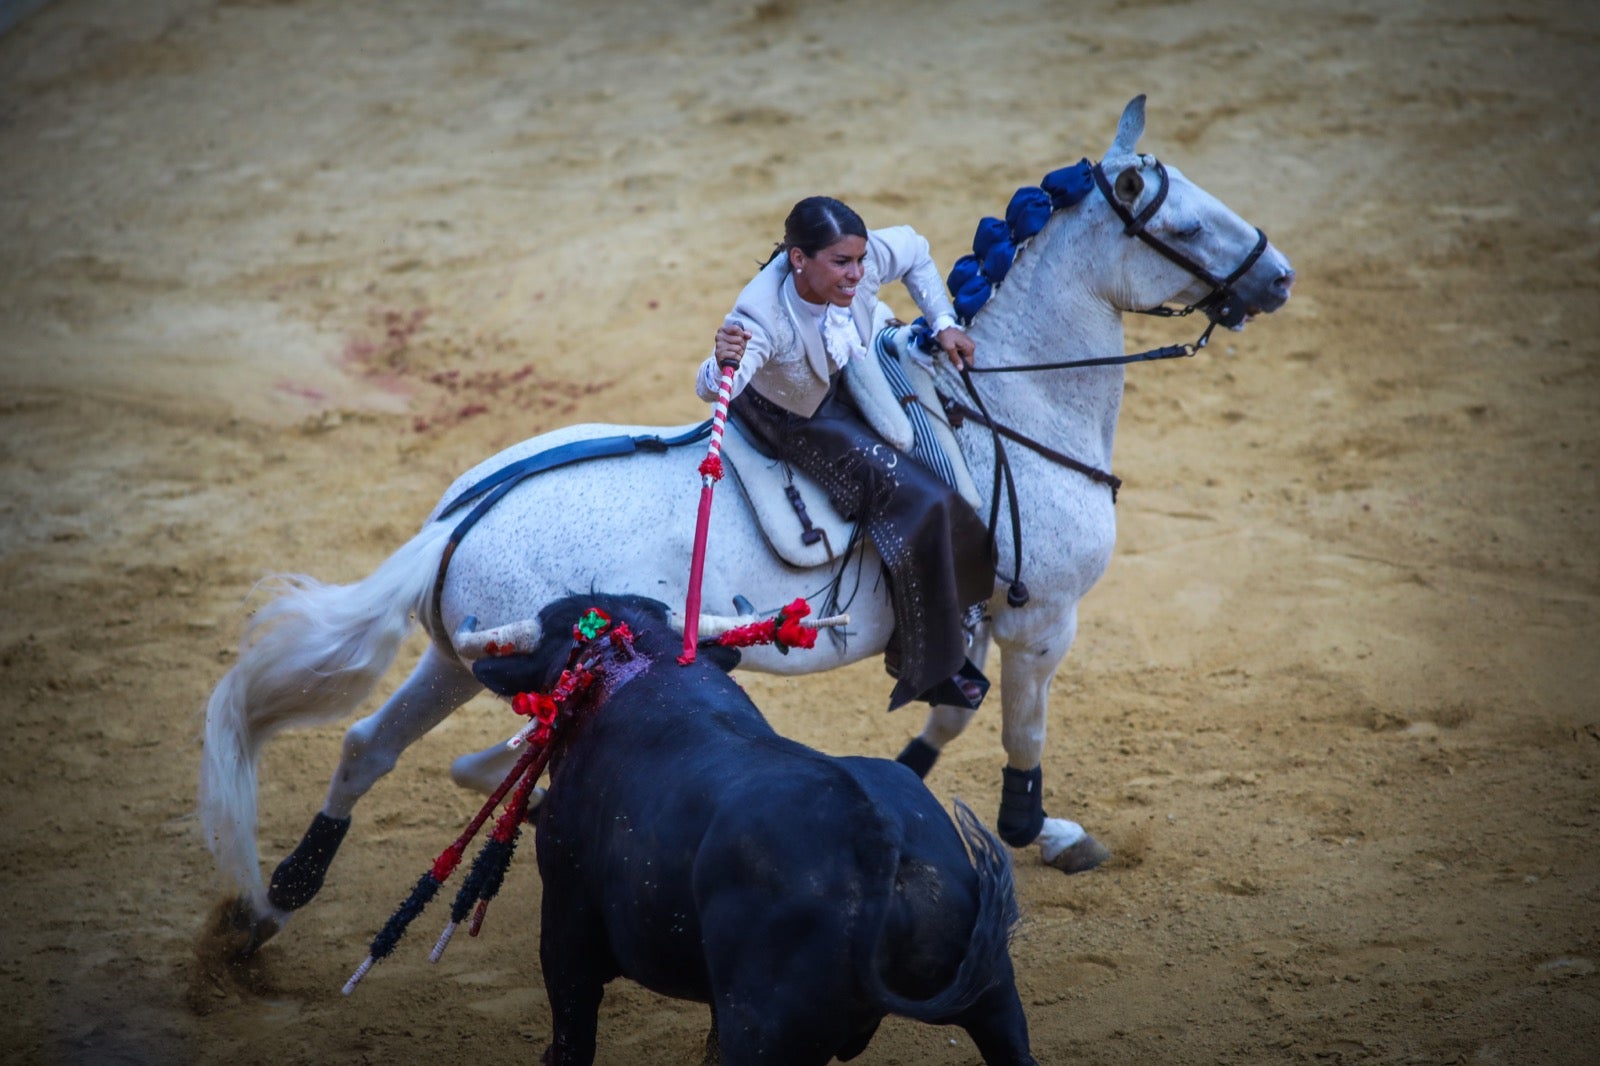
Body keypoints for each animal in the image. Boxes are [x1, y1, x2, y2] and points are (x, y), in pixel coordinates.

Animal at [203, 95, 1299, 947]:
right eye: (1186, 226)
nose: (1279, 275)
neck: (1008, 406)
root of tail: (461, 520)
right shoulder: (1042, 619)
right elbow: (1014, 738)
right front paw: (1047, 834)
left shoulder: (978, 617)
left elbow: (951, 711)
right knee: (439, 756)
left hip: (452, 658)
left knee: (370, 744)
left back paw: (270, 906)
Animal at [508, 592, 1036, 1062]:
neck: (643, 667)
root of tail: (879, 842)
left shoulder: (566, 923)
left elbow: (572, 1034)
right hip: (994, 992)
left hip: (763, 1032)